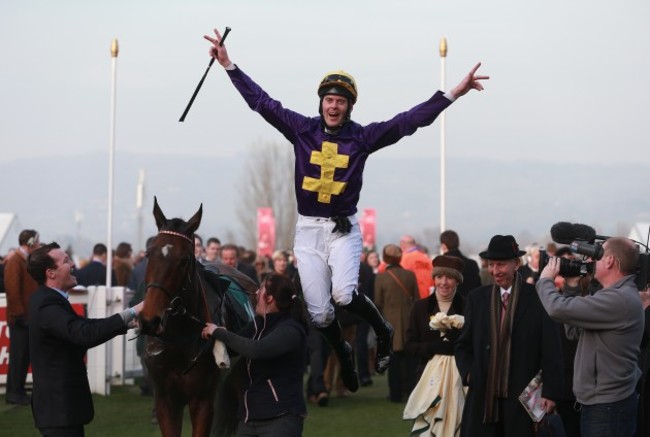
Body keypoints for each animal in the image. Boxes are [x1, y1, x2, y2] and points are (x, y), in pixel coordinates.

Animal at [139, 198, 256, 436]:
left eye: (184, 260)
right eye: (148, 254)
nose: (150, 320)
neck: (180, 338)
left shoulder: (202, 400)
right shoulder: (165, 400)